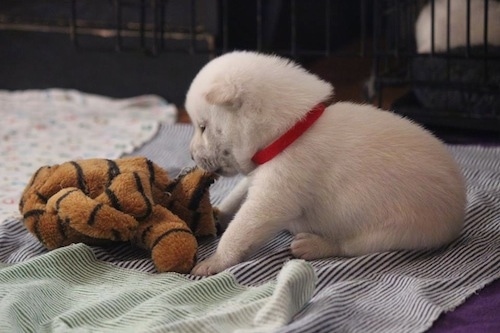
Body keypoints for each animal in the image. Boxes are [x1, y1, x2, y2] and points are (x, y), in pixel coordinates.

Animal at [186, 51, 466, 274]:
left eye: (202, 127)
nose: (189, 155)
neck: (289, 131)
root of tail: (460, 210)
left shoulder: (275, 192)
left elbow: (242, 228)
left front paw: (214, 261)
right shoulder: (259, 173)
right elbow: (238, 195)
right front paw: (218, 213)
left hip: (397, 231)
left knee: (349, 246)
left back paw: (312, 245)